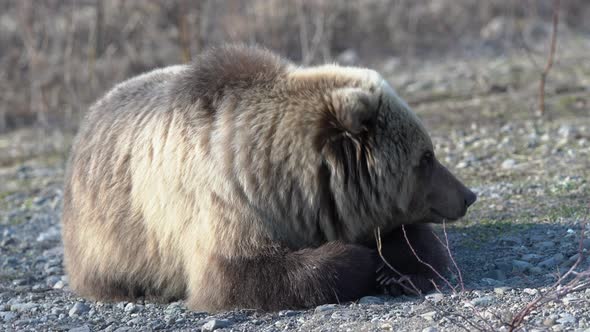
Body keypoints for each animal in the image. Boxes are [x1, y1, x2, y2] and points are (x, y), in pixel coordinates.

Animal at [61, 43, 476, 312]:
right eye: (427, 157)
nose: (467, 194)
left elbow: (416, 241)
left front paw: (398, 269)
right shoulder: (221, 202)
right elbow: (238, 275)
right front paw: (359, 260)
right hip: (106, 235)